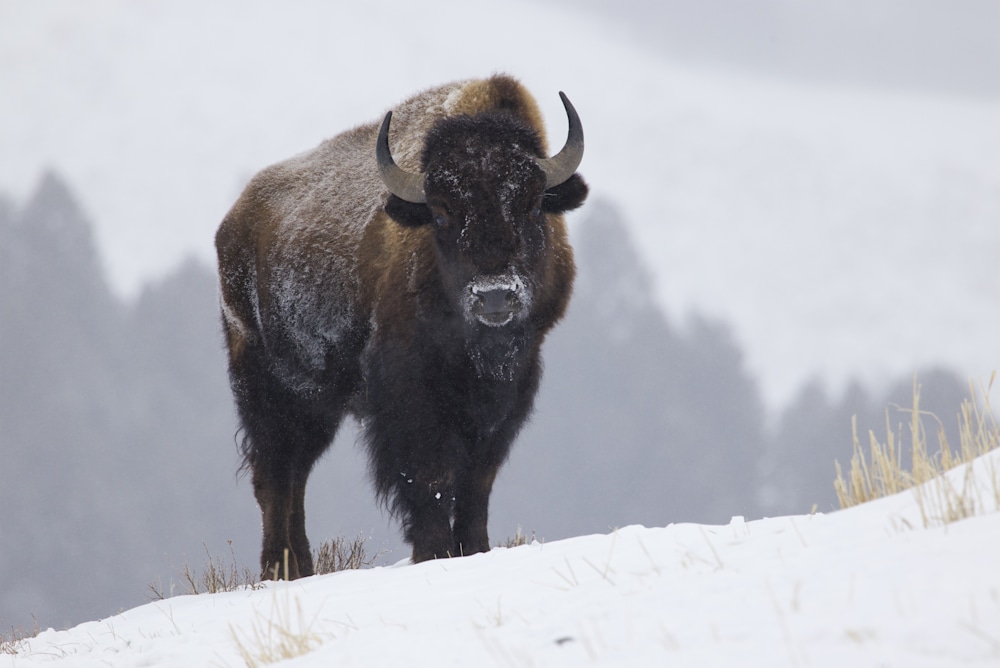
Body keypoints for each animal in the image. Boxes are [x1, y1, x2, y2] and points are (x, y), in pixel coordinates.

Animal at [212, 72, 584, 576]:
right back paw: (279, 570)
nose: (494, 296)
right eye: (442, 213)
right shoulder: (409, 397)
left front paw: (475, 548)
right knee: (274, 476)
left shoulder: (506, 398)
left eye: (531, 205)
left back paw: (301, 566)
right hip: (267, 389)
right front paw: (433, 552)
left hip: (316, 405)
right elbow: (429, 479)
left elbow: (476, 484)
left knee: (295, 476)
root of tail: (232, 222)